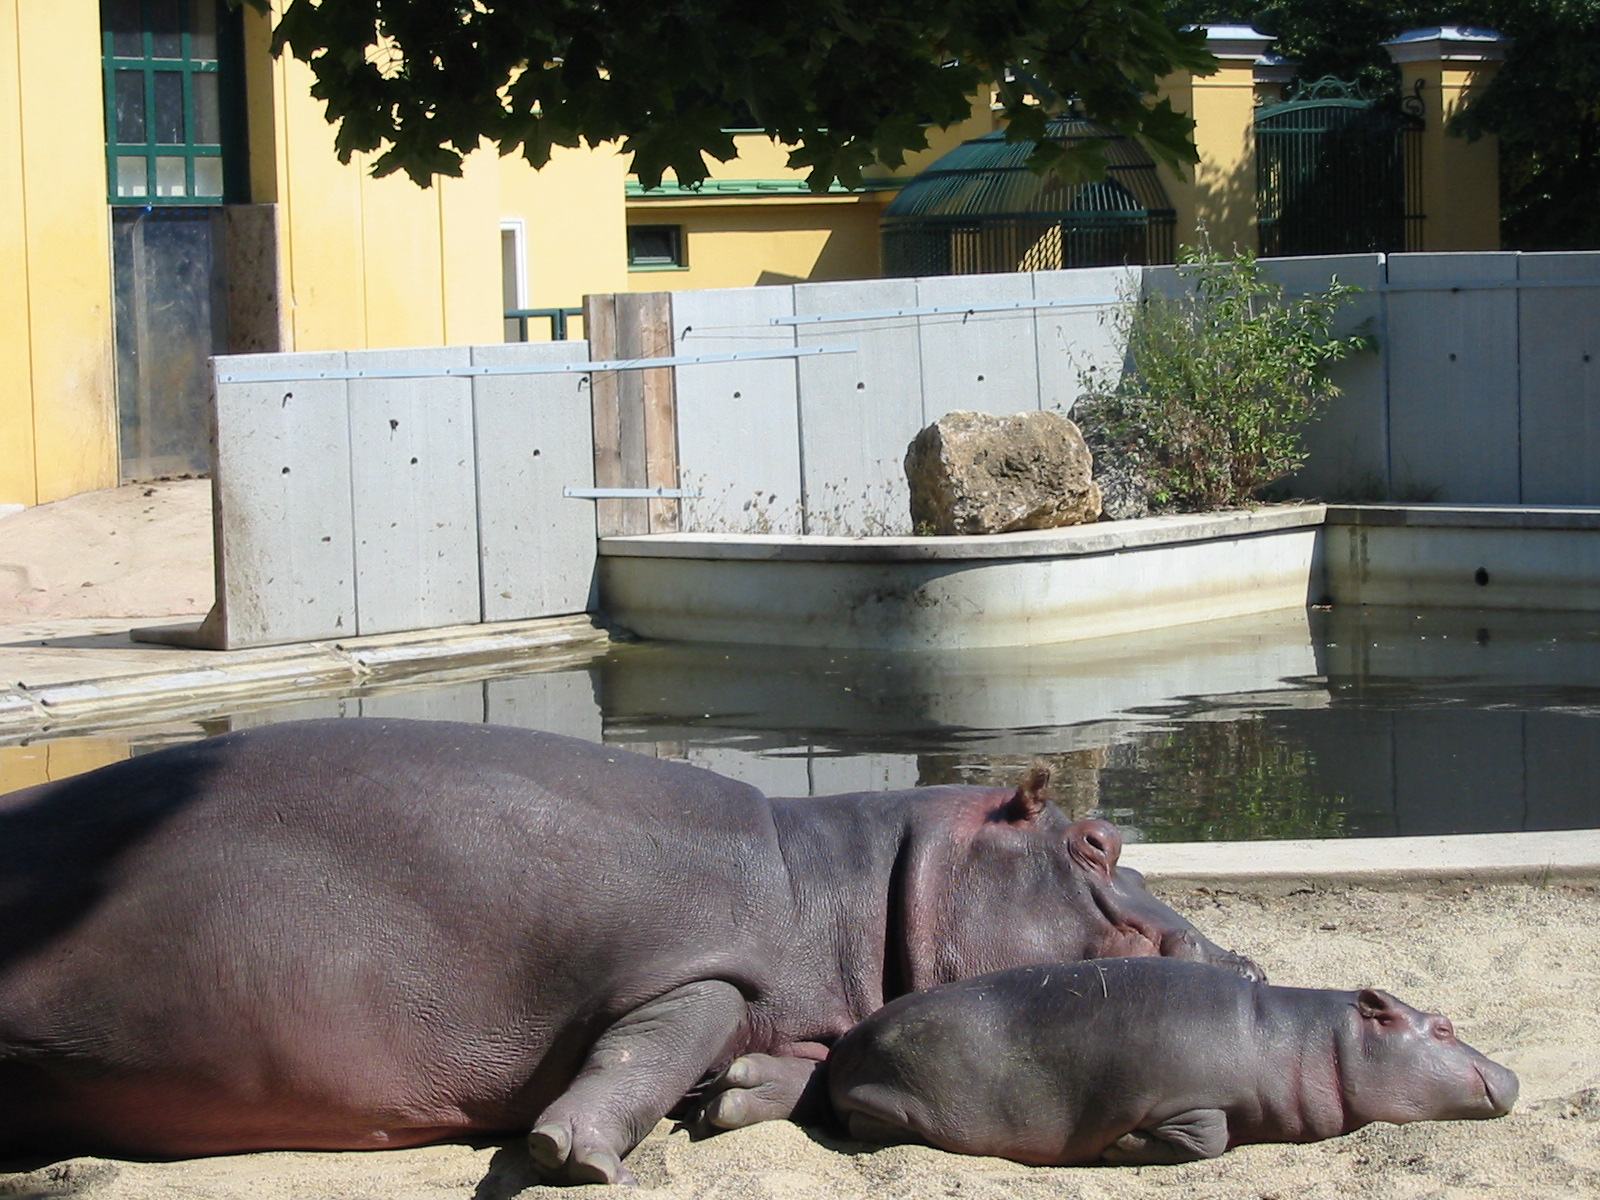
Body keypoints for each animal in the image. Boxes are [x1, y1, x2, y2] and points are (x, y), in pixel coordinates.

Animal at [0, 719, 1259, 1185]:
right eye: (1097, 841)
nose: (1243, 965)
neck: (847, 880)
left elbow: (786, 1059)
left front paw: (733, 1096)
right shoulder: (696, 969)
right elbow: (652, 1046)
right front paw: (571, 1155)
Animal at [828, 957, 1518, 1167]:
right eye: (1444, 1027)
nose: (1511, 1076)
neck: (1301, 1038)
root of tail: (847, 1046)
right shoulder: (1188, 1096)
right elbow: (1209, 1137)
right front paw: (1121, 1147)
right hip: (895, 1100)